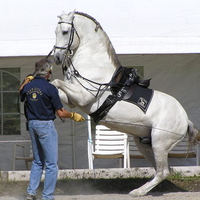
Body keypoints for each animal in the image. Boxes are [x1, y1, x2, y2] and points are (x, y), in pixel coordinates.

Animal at [51, 10, 198, 196]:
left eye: (64, 32)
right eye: (55, 31)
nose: (56, 57)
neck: (93, 63)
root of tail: (185, 119)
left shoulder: (83, 96)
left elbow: (55, 82)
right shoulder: (72, 98)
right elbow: (56, 88)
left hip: (160, 143)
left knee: (163, 171)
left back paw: (138, 192)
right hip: (145, 144)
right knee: (161, 170)